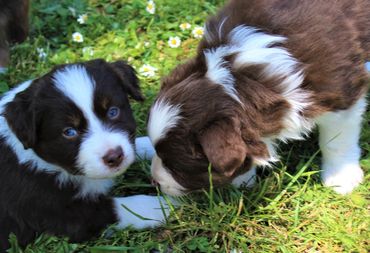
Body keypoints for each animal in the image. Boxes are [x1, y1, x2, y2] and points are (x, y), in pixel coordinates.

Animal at [147, 0, 370, 196]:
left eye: (176, 168)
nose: (154, 182)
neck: (242, 77)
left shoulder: (342, 94)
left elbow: (336, 141)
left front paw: (342, 179)